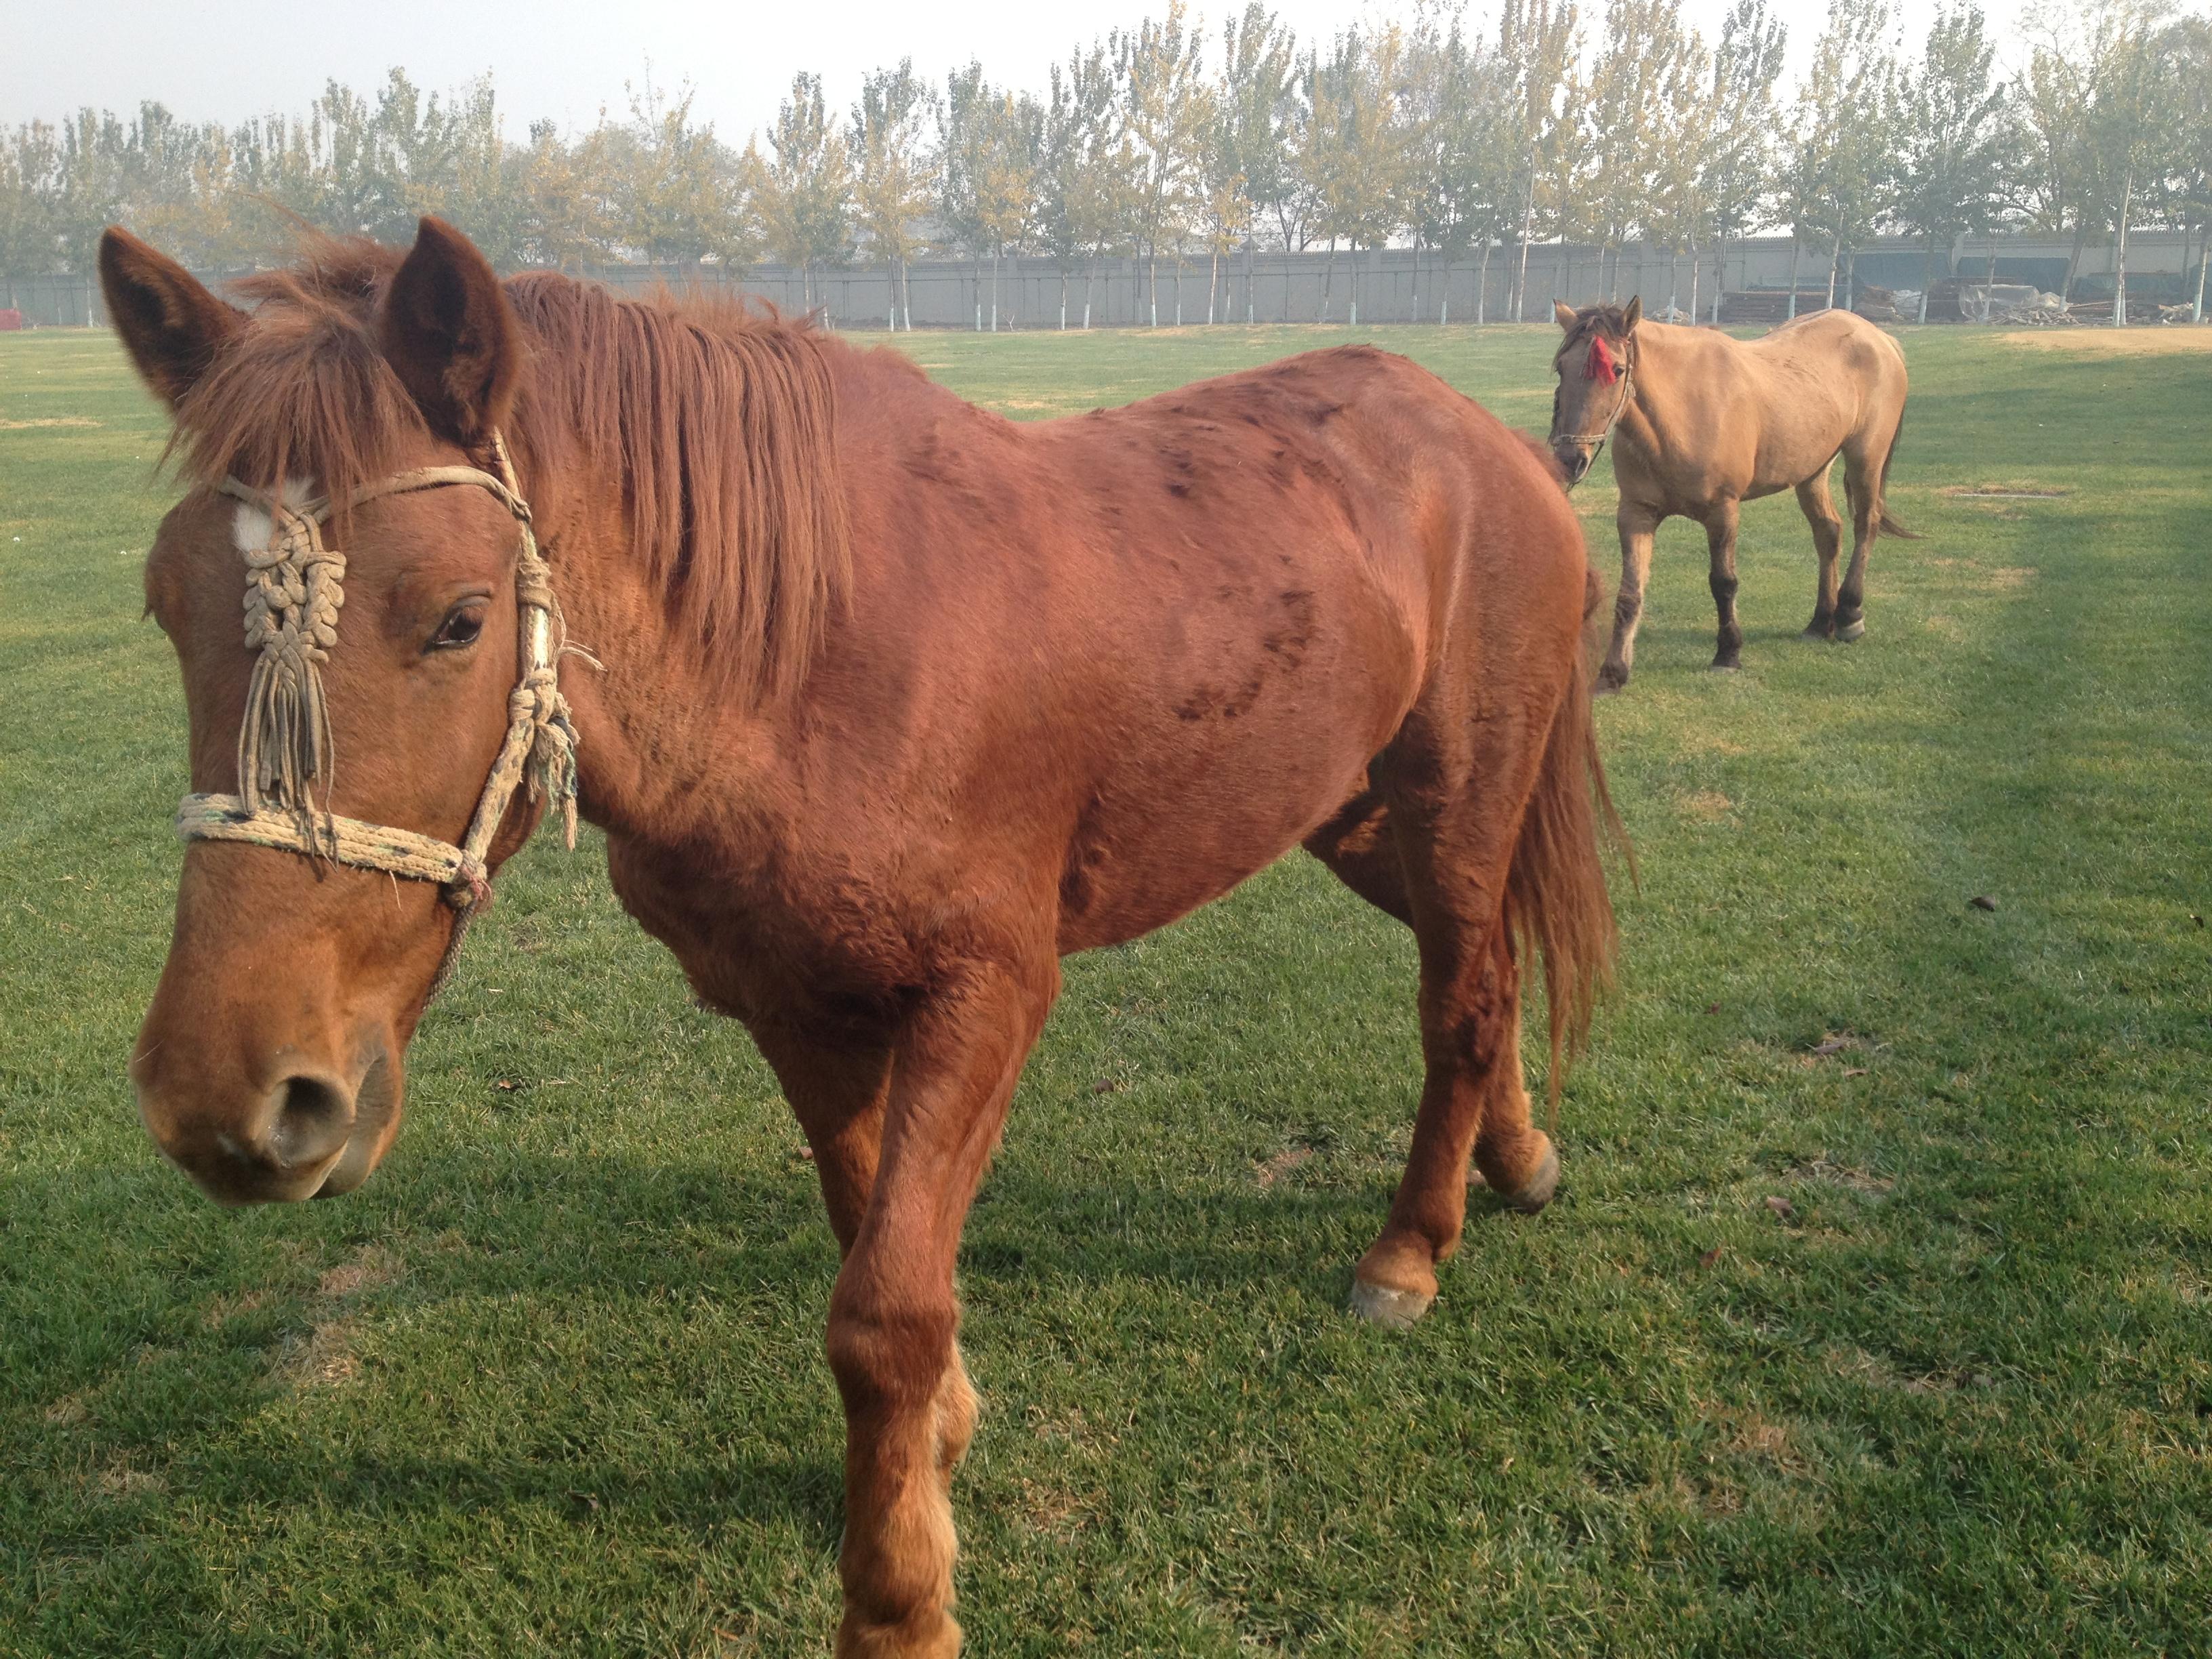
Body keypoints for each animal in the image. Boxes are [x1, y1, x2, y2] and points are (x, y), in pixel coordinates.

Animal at [104, 221, 1619, 1659]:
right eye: (164, 606)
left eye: (459, 618)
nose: (230, 1101)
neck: (816, 657)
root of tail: (1485, 438)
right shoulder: (800, 1007)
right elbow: (866, 1240)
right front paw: (937, 1440)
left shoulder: (986, 996)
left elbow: (885, 1311)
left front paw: (899, 1600)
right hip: (1346, 809)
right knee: (1483, 971)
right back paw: (1516, 1156)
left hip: (1454, 794)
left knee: (1464, 991)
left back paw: (1410, 1248)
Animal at [1539, 298, 1920, 690]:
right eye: (1562, 369)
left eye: (1616, 370)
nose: (1570, 459)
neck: (1683, 412)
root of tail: (1879, 337)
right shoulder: (1636, 513)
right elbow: (1630, 592)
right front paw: (1614, 671)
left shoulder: (1723, 510)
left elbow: (1723, 583)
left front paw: (1728, 653)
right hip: (1812, 471)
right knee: (1829, 533)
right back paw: (1819, 622)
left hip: (1866, 459)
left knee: (1865, 525)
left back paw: (1849, 614)